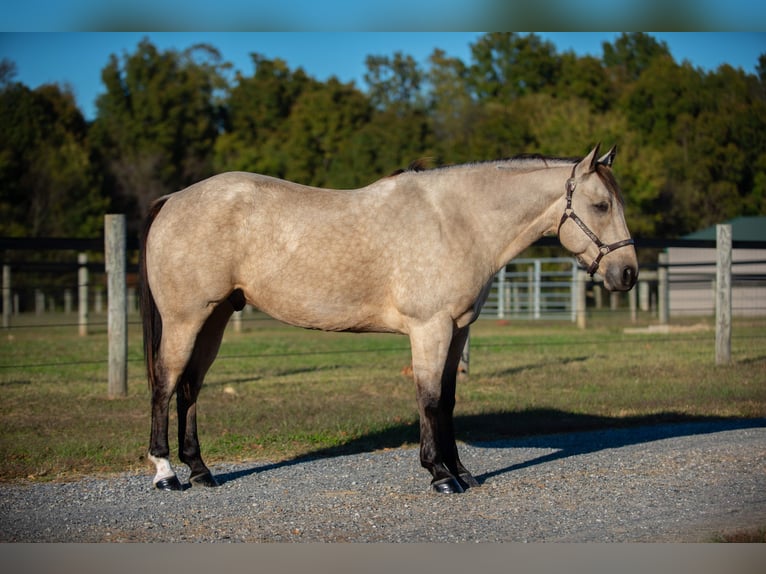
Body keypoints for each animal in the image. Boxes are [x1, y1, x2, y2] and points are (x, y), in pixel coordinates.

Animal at [140, 143, 638, 494]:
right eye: (600, 205)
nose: (627, 273)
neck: (457, 221)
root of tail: (173, 199)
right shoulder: (430, 328)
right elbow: (429, 399)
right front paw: (440, 475)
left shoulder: (457, 330)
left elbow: (447, 401)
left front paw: (461, 471)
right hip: (186, 319)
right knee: (166, 383)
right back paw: (166, 473)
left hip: (216, 318)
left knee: (190, 388)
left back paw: (201, 471)